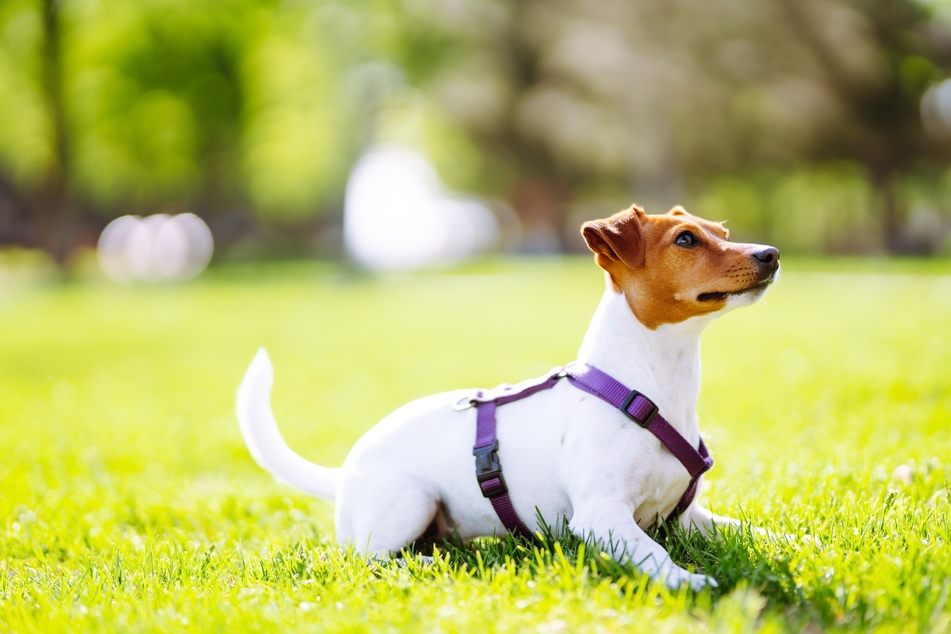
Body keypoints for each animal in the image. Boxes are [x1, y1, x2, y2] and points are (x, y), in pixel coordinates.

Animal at [238, 204, 780, 588]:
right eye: (685, 239)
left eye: (722, 233)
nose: (770, 254)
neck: (648, 386)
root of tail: (345, 470)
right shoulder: (602, 515)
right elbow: (654, 552)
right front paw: (688, 581)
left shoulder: (686, 517)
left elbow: (745, 529)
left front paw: (792, 539)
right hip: (408, 503)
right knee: (369, 558)